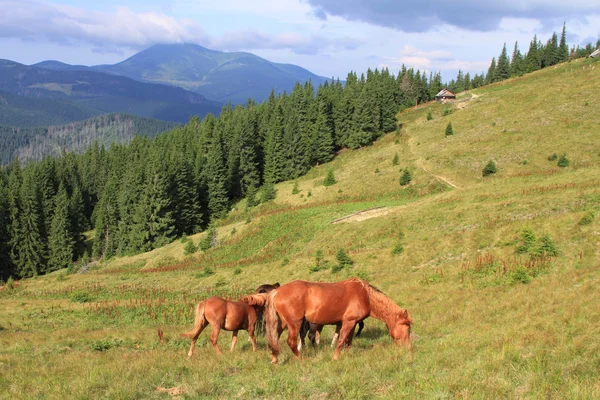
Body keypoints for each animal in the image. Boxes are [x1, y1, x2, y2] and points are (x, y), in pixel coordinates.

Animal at [241, 276, 410, 364]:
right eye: (408, 328)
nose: (408, 348)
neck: (364, 295)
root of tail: (276, 292)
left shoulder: (351, 323)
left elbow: (348, 341)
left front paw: (347, 354)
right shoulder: (348, 322)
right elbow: (341, 340)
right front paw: (335, 358)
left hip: (281, 323)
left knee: (274, 340)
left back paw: (275, 359)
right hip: (294, 324)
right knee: (292, 342)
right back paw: (300, 358)